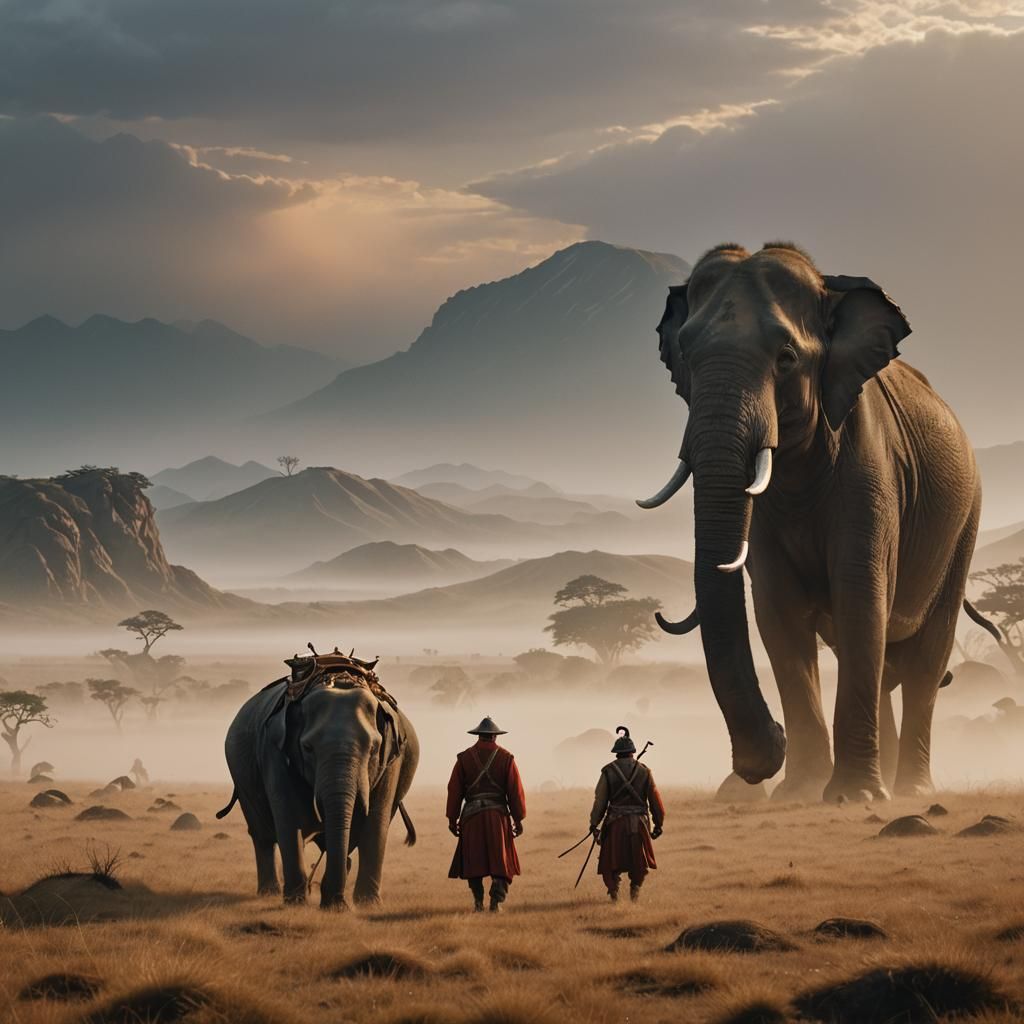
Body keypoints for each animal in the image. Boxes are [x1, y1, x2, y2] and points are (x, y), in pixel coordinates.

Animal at [218, 656, 418, 908]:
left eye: (373, 748)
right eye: (307, 748)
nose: (336, 902)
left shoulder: (392, 761)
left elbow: (376, 822)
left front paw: (366, 905)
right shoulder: (274, 751)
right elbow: (288, 819)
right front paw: (296, 903)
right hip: (242, 777)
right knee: (262, 835)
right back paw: (269, 894)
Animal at [639, 241, 997, 802]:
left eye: (786, 359)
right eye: (687, 359)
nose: (761, 759)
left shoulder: (872, 470)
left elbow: (859, 599)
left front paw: (854, 798)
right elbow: (779, 616)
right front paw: (800, 793)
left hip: (965, 521)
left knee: (925, 661)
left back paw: (912, 792)